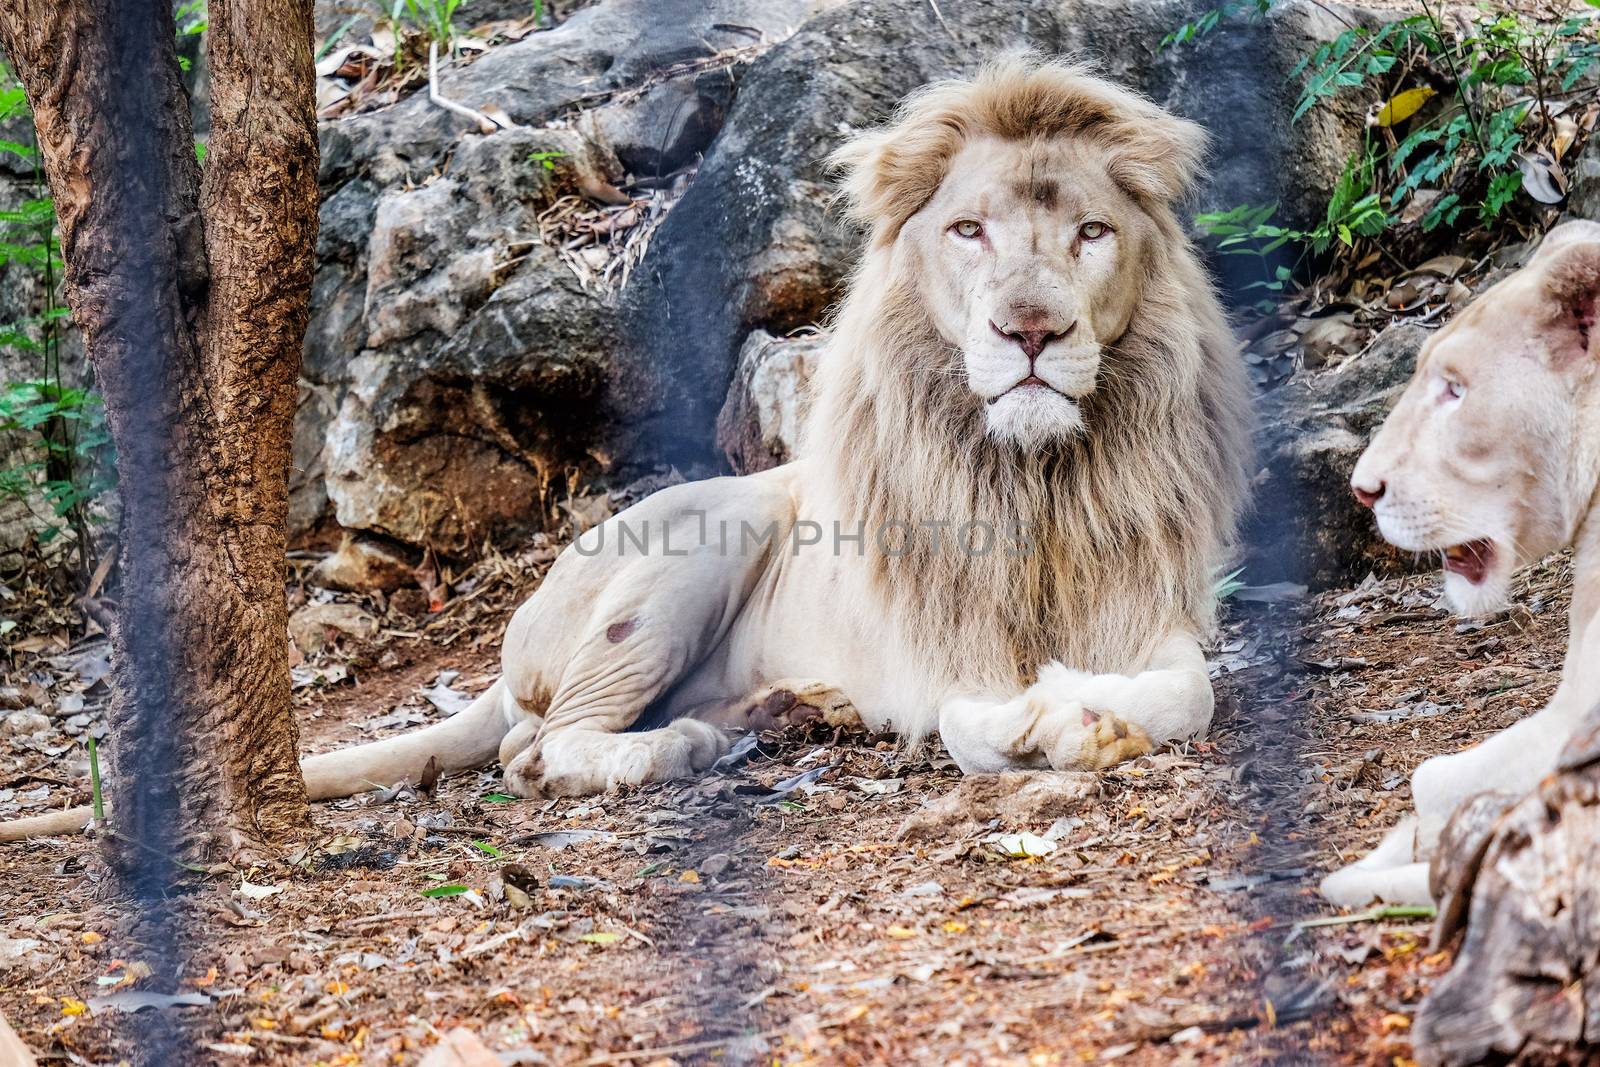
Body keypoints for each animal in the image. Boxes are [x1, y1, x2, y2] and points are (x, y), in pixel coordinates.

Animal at [3, 56, 1248, 831]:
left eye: (1090, 233)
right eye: (969, 231)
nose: (1030, 329)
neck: (1039, 476)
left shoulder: (1151, 607)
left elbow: (1192, 693)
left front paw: (1089, 717)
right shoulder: (930, 644)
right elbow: (963, 712)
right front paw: (1043, 721)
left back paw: (783, 713)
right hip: (702, 540)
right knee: (540, 750)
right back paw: (694, 747)